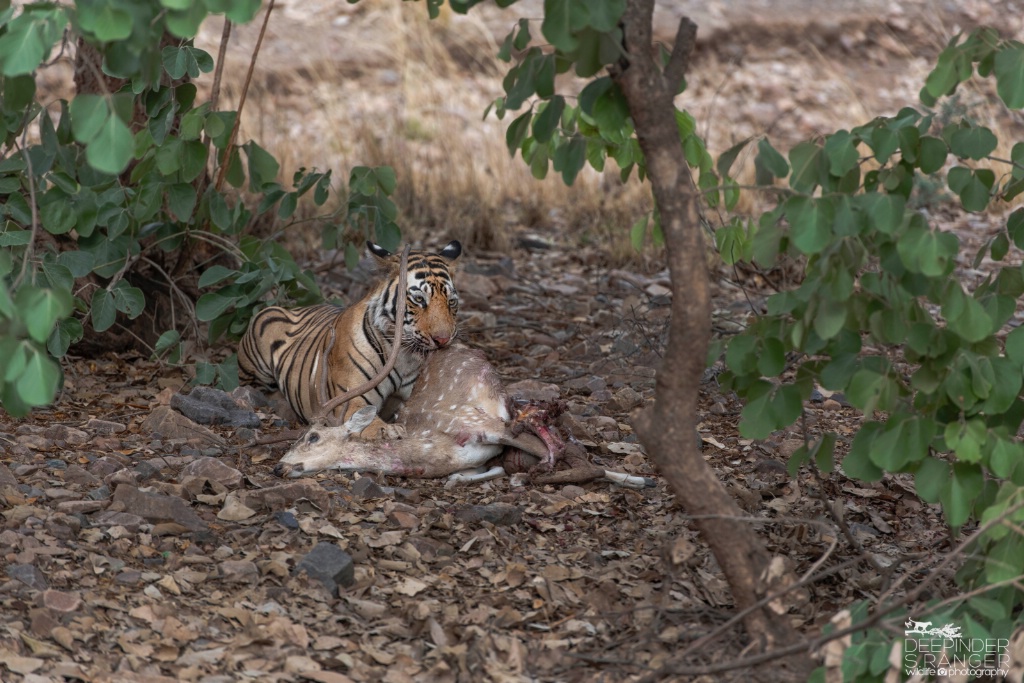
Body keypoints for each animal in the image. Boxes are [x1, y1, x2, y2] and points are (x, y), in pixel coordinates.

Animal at [237, 240, 462, 432]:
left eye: (451, 302)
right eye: (419, 299)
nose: (443, 340)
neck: (403, 357)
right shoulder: (351, 399)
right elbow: (368, 423)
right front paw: (389, 432)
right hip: (263, 326)